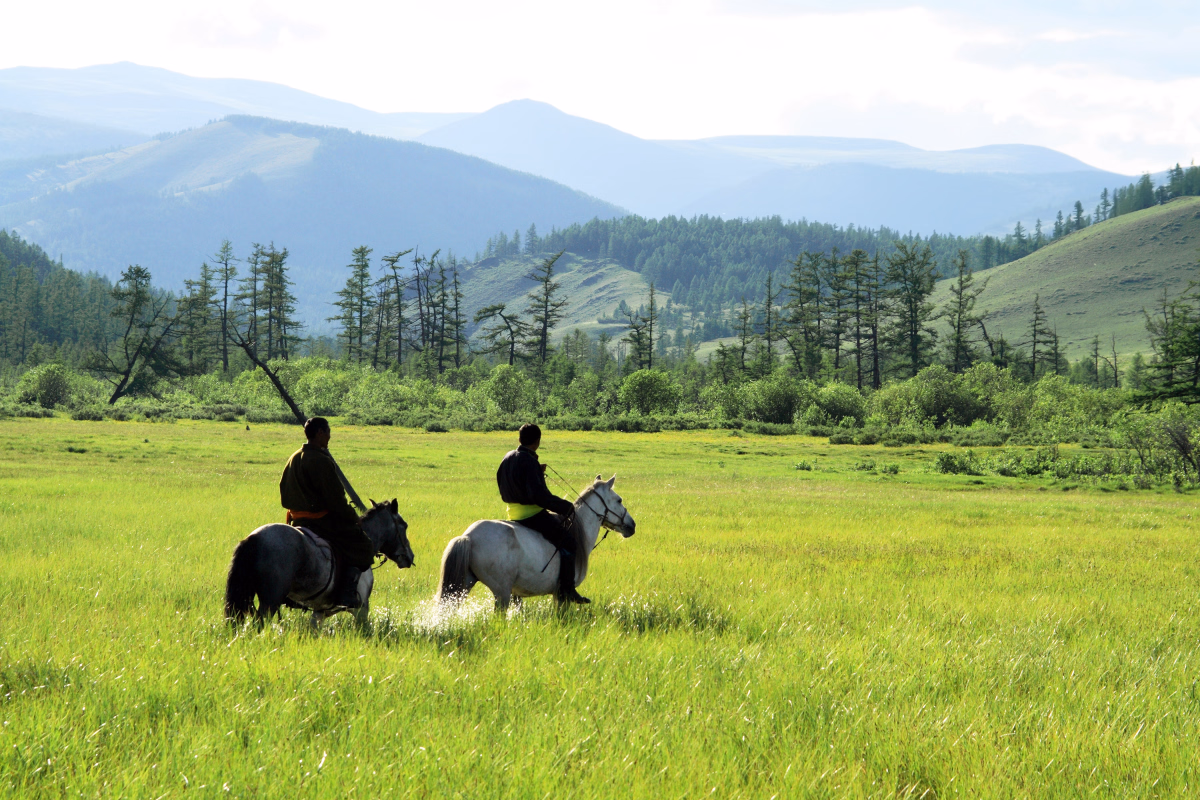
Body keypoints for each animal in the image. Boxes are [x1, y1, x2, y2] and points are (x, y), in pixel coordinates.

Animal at [224, 499, 414, 627]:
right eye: (404, 525)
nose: (409, 557)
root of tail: (253, 538)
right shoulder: (361, 609)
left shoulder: (319, 612)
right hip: (270, 600)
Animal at [437, 475, 635, 611]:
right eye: (619, 500)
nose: (632, 526)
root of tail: (469, 537)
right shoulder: (561, 595)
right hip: (501, 592)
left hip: (464, 585)